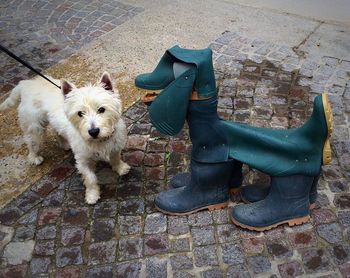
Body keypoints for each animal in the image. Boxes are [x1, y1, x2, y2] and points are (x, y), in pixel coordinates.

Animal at [0, 72, 131, 204]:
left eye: (101, 109)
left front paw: (121, 168)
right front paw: (92, 195)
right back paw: (35, 157)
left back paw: (64, 144)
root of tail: (26, 84)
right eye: (80, 113)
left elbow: (115, 158)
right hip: (34, 127)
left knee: (57, 131)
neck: (99, 140)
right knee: (32, 142)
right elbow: (90, 178)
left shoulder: (115, 146)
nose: (93, 132)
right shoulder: (82, 160)